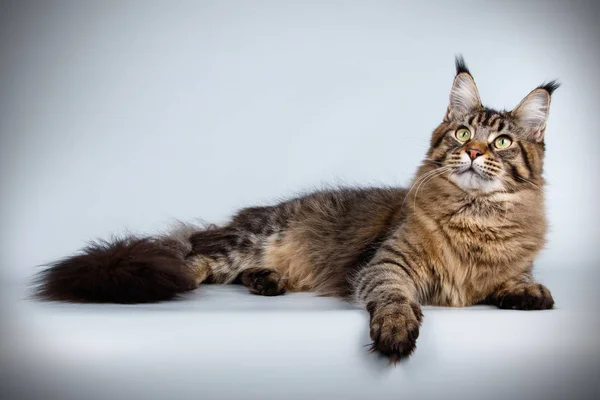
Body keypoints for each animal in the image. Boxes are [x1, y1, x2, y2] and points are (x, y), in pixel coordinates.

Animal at [32, 57, 556, 362]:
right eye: (463, 133)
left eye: (502, 142)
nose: (473, 152)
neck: (475, 217)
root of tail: (246, 217)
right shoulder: (386, 264)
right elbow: (393, 296)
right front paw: (396, 329)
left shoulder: (509, 263)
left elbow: (521, 281)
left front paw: (526, 292)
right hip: (247, 241)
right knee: (197, 259)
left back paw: (269, 281)